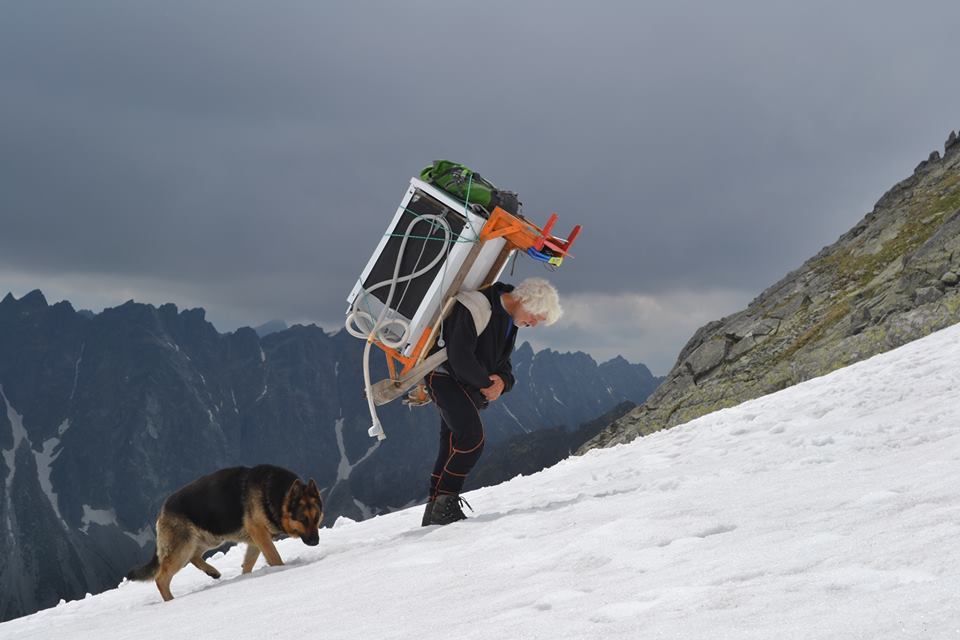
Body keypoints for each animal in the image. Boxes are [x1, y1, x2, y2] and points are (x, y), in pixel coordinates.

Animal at [125, 464, 322, 600]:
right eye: (303, 520)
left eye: (317, 517)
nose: (316, 542)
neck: (276, 494)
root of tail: (163, 509)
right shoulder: (260, 534)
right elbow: (275, 557)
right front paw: (283, 570)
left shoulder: (256, 540)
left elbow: (248, 564)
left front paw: (246, 577)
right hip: (183, 548)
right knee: (161, 578)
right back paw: (171, 601)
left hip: (209, 538)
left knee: (194, 557)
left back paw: (212, 572)